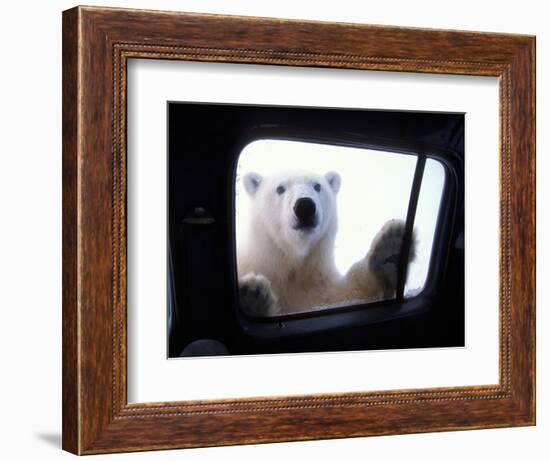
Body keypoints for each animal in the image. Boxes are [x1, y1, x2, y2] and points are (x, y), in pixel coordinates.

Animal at [238, 169, 418, 316]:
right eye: (280, 188)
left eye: (317, 186)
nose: (305, 206)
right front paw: (253, 294)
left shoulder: (316, 284)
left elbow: (345, 295)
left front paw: (390, 250)